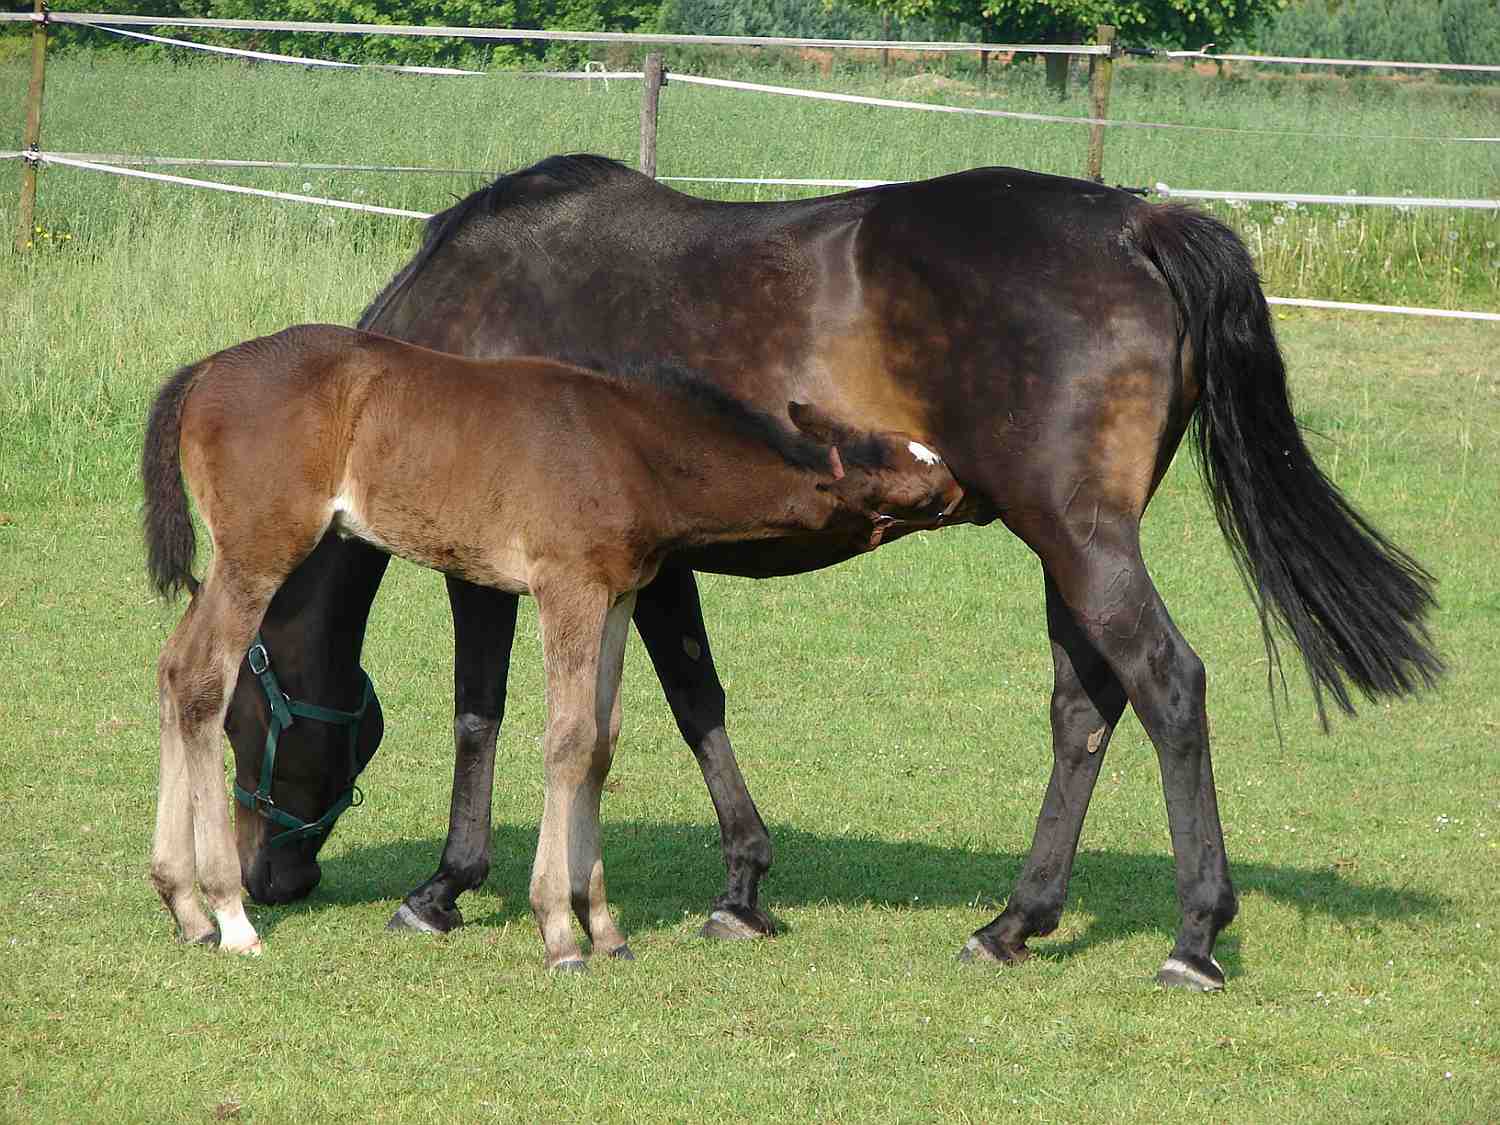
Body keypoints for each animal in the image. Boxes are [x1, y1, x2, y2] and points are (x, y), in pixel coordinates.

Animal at [141, 324, 960, 972]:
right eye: (912, 482)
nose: (962, 487)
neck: (632, 447)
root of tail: (204, 371)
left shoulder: (616, 597)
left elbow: (601, 742)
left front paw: (604, 926)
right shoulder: (566, 587)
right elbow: (565, 741)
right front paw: (560, 931)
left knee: (173, 669)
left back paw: (185, 908)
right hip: (258, 553)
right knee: (204, 679)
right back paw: (230, 915)